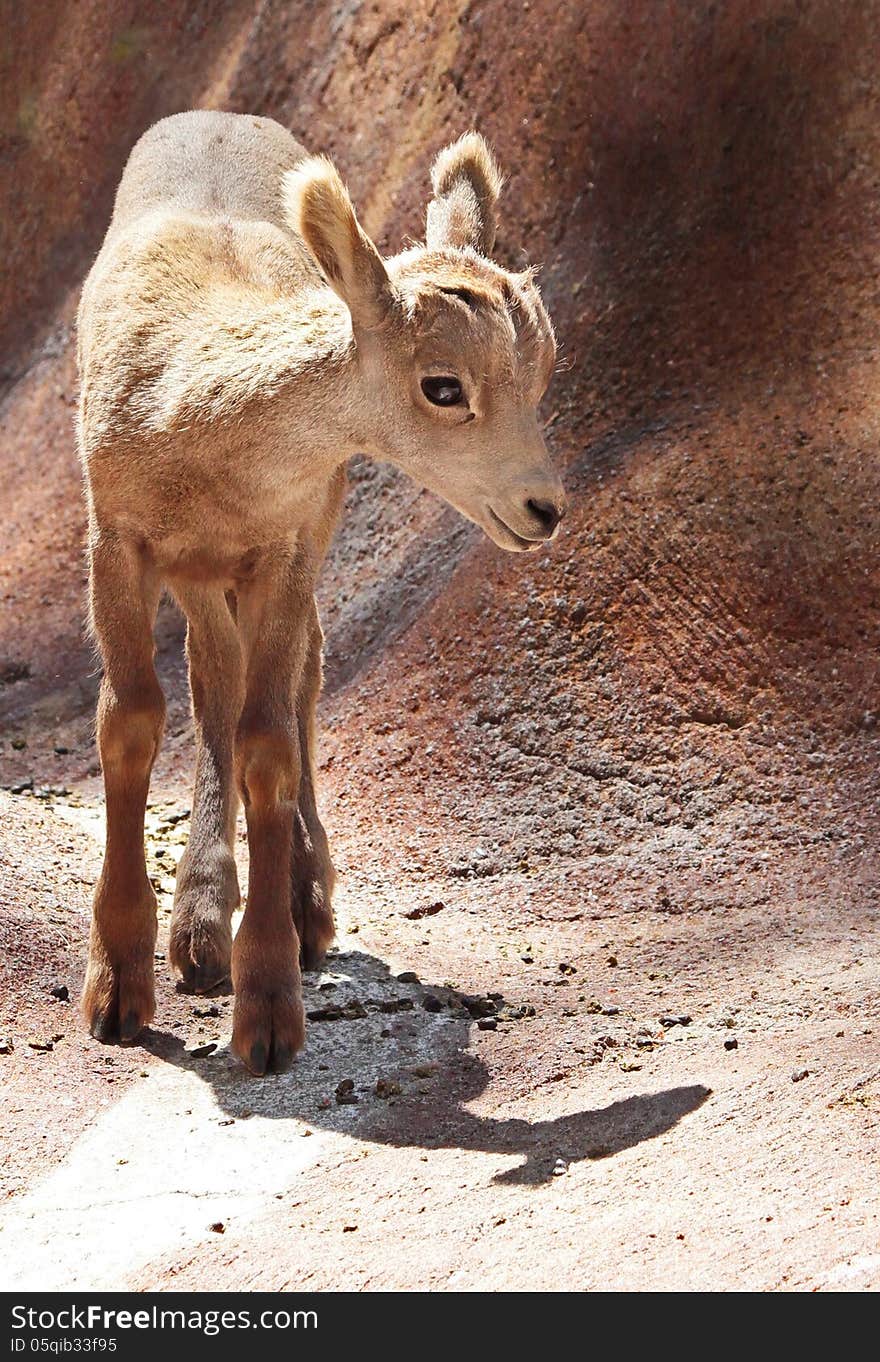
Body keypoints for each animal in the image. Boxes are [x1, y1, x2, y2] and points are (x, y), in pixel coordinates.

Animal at [79, 108, 569, 1073]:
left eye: (543, 371)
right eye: (443, 386)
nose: (543, 509)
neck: (192, 428)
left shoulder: (281, 544)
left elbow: (270, 739)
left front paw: (268, 1012)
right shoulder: (119, 540)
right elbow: (133, 722)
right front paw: (116, 994)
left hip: (306, 536)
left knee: (295, 676)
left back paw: (296, 913)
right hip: (201, 576)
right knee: (212, 676)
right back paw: (198, 932)